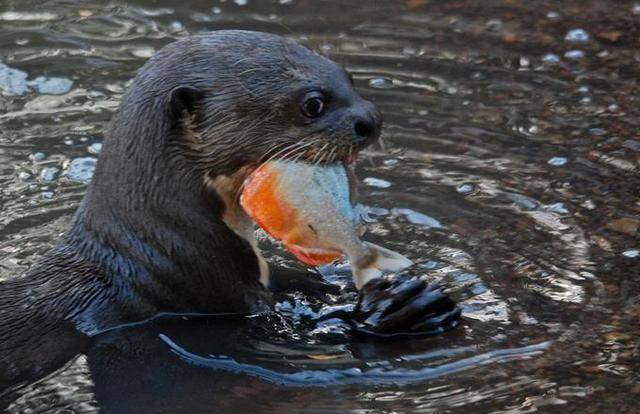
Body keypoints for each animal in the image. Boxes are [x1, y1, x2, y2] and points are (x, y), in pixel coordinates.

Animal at [0, 29, 460, 392]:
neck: (165, 249)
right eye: (312, 103)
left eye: (347, 77)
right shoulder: (209, 294)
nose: (372, 119)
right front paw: (400, 308)